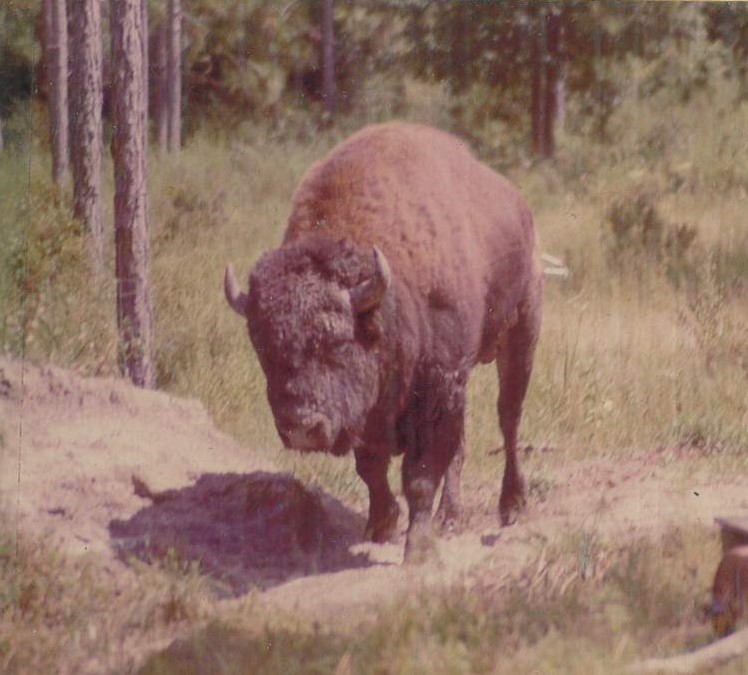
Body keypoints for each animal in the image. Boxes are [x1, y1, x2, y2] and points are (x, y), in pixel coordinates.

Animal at [225, 123, 543, 563]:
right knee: (463, 445)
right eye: (262, 346)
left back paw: (510, 505)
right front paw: (381, 525)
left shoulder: (437, 387)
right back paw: (450, 516)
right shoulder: (374, 410)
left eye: (338, 340)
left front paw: (419, 548)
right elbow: (372, 467)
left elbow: (420, 473)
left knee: (509, 419)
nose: (302, 426)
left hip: (520, 333)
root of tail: (520, 208)